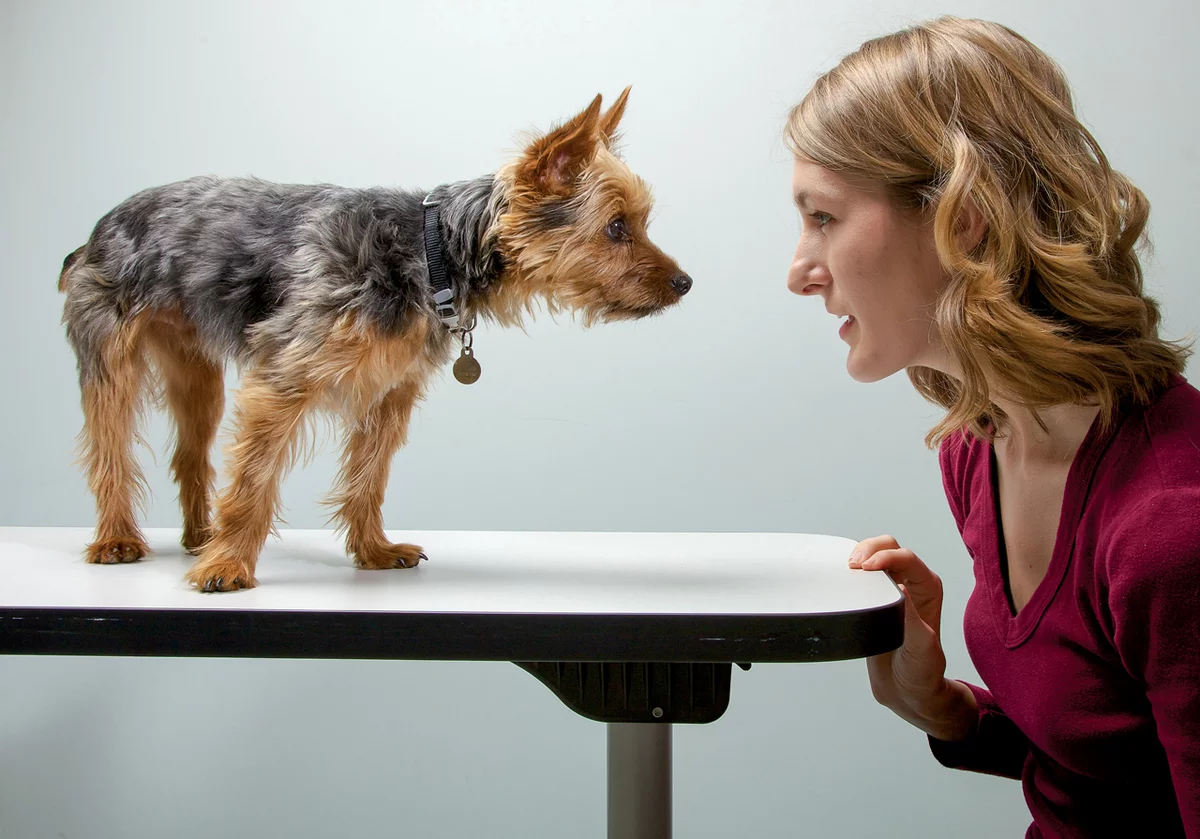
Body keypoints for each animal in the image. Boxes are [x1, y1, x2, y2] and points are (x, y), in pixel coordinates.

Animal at [58, 90, 696, 590]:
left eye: (639, 224)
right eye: (616, 228)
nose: (685, 283)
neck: (434, 251)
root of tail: (98, 228)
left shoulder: (391, 391)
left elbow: (370, 474)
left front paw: (372, 551)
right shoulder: (283, 381)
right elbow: (254, 479)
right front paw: (229, 566)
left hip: (196, 375)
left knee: (190, 452)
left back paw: (198, 535)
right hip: (112, 358)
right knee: (109, 447)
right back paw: (119, 538)